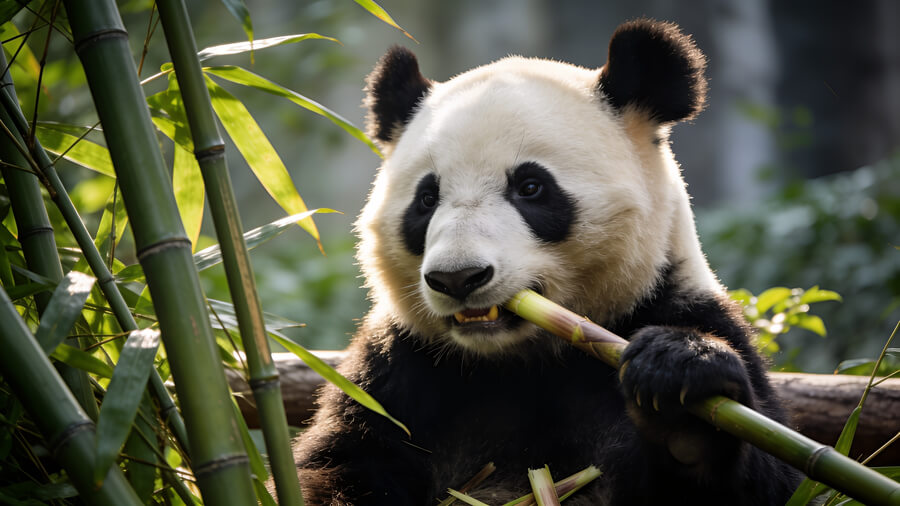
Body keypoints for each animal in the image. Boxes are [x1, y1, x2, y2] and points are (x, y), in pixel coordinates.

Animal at [292, 19, 800, 505]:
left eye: (531, 187)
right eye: (427, 198)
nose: (458, 278)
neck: (521, 361)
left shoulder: (677, 306)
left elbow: (772, 481)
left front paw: (681, 397)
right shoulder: (396, 370)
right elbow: (338, 465)